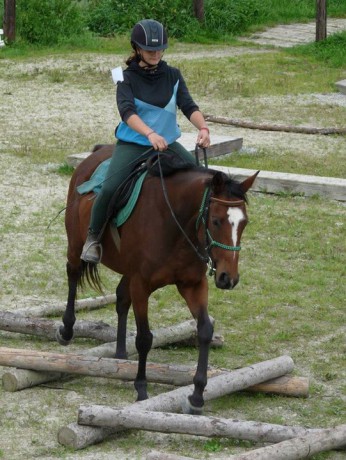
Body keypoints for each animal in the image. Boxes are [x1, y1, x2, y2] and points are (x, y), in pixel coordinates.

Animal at [57, 144, 256, 414]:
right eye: (216, 221)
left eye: (244, 223)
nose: (228, 278)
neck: (174, 223)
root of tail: (97, 152)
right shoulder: (142, 285)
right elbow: (144, 338)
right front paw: (141, 389)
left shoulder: (193, 284)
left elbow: (205, 330)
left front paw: (197, 395)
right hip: (76, 244)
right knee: (73, 274)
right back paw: (67, 330)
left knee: (121, 297)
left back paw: (120, 352)